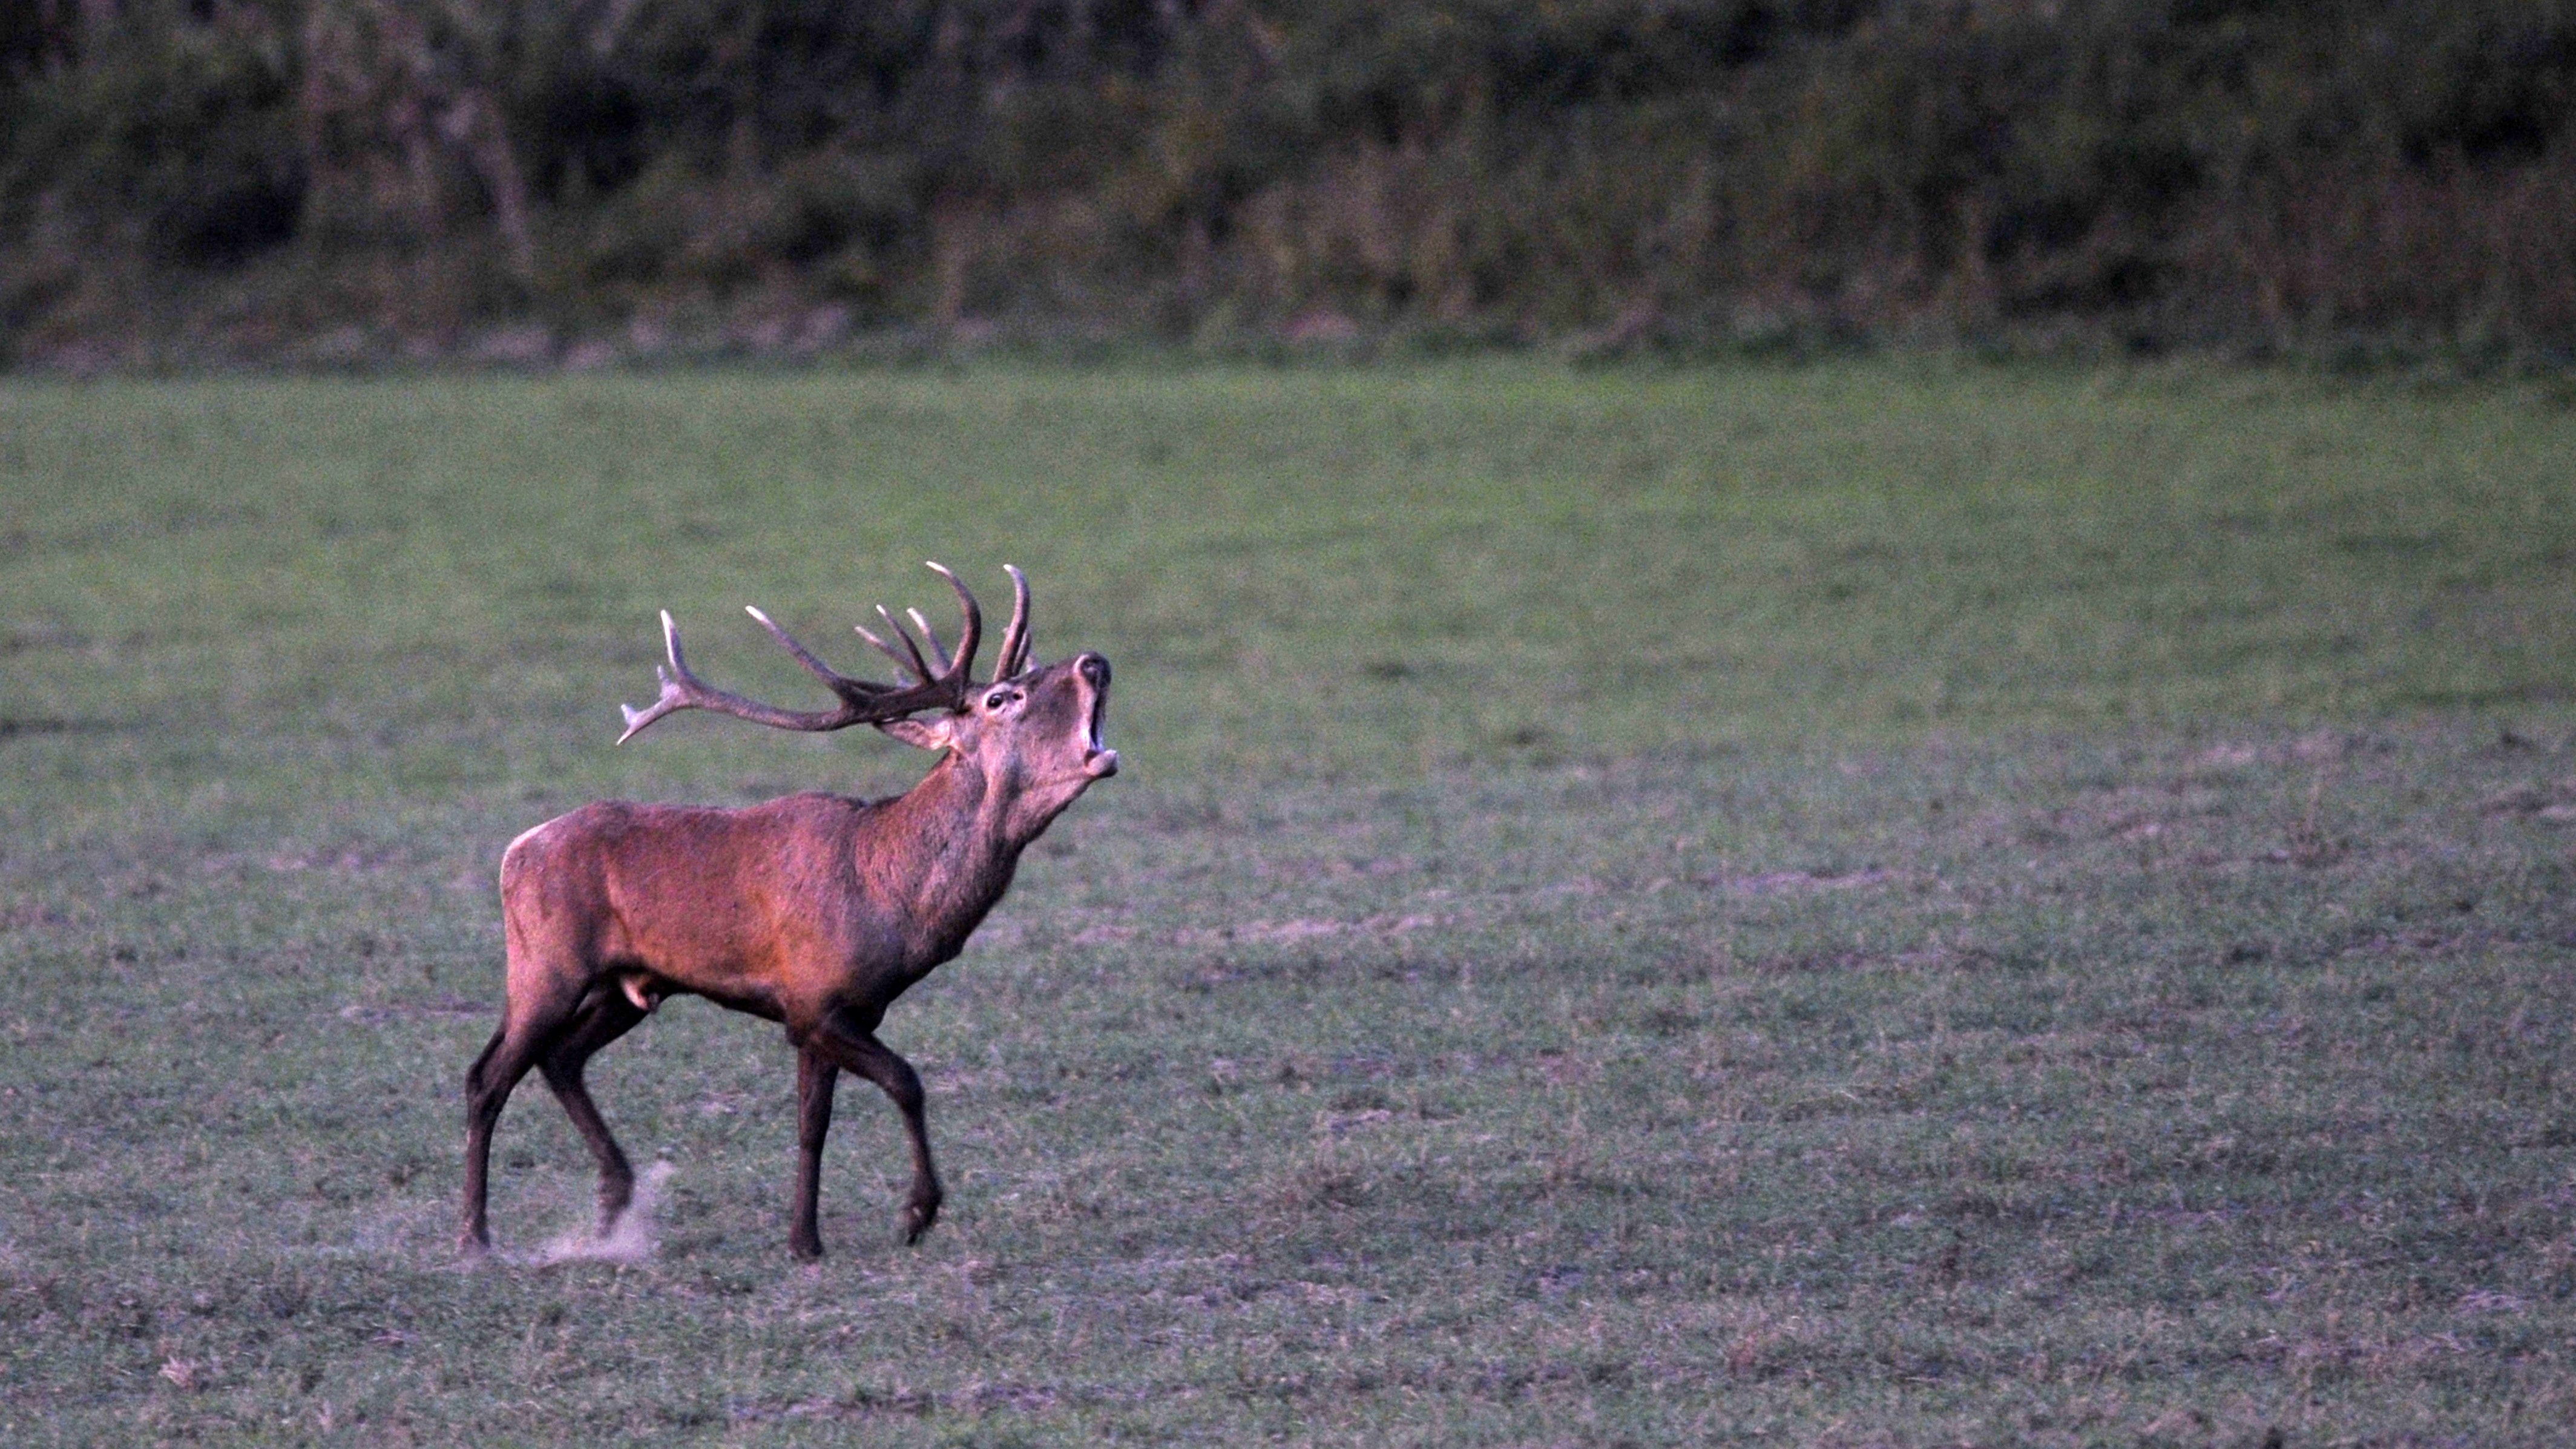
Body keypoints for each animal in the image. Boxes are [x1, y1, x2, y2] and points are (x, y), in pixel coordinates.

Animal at [464, 559, 1118, 1258]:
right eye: (1002, 699)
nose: (1095, 661)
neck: (894, 901)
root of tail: (514, 851)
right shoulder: (813, 1001)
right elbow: (906, 1082)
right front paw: (917, 1211)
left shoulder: (834, 1011)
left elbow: (813, 1125)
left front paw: (804, 1239)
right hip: (545, 968)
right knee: (487, 1077)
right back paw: (475, 1236)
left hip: (625, 988)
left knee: (561, 1058)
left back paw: (614, 1208)